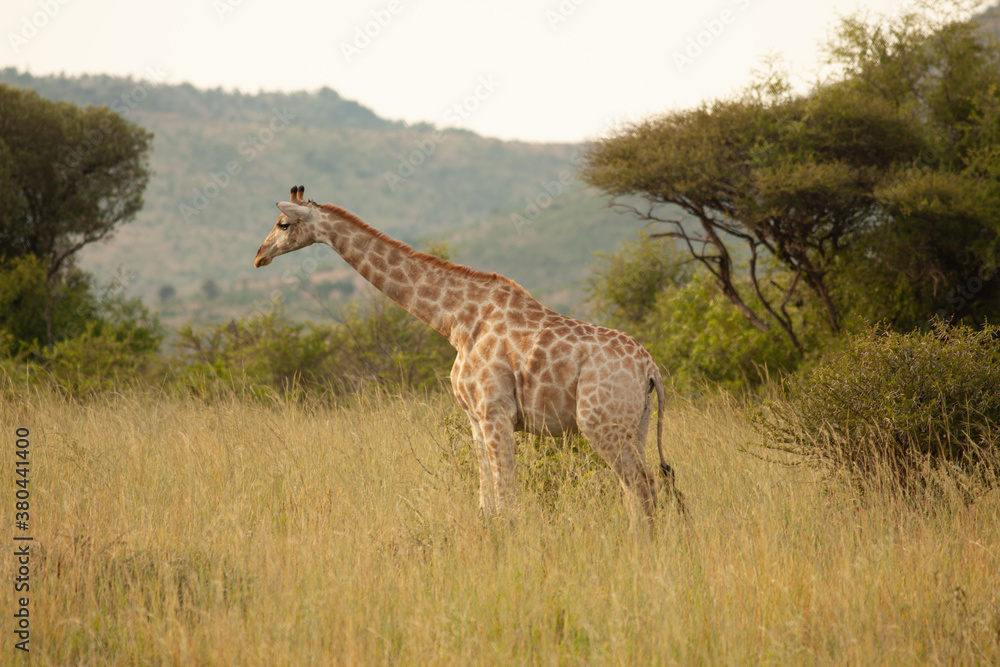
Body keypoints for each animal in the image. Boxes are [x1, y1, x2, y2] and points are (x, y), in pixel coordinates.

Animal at [254, 186, 686, 523]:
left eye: (283, 223)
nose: (259, 256)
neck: (456, 320)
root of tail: (651, 369)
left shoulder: (496, 413)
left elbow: (508, 503)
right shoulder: (476, 419)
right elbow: (487, 506)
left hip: (600, 423)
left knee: (642, 487)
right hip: (635, 424)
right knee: (641, 490)